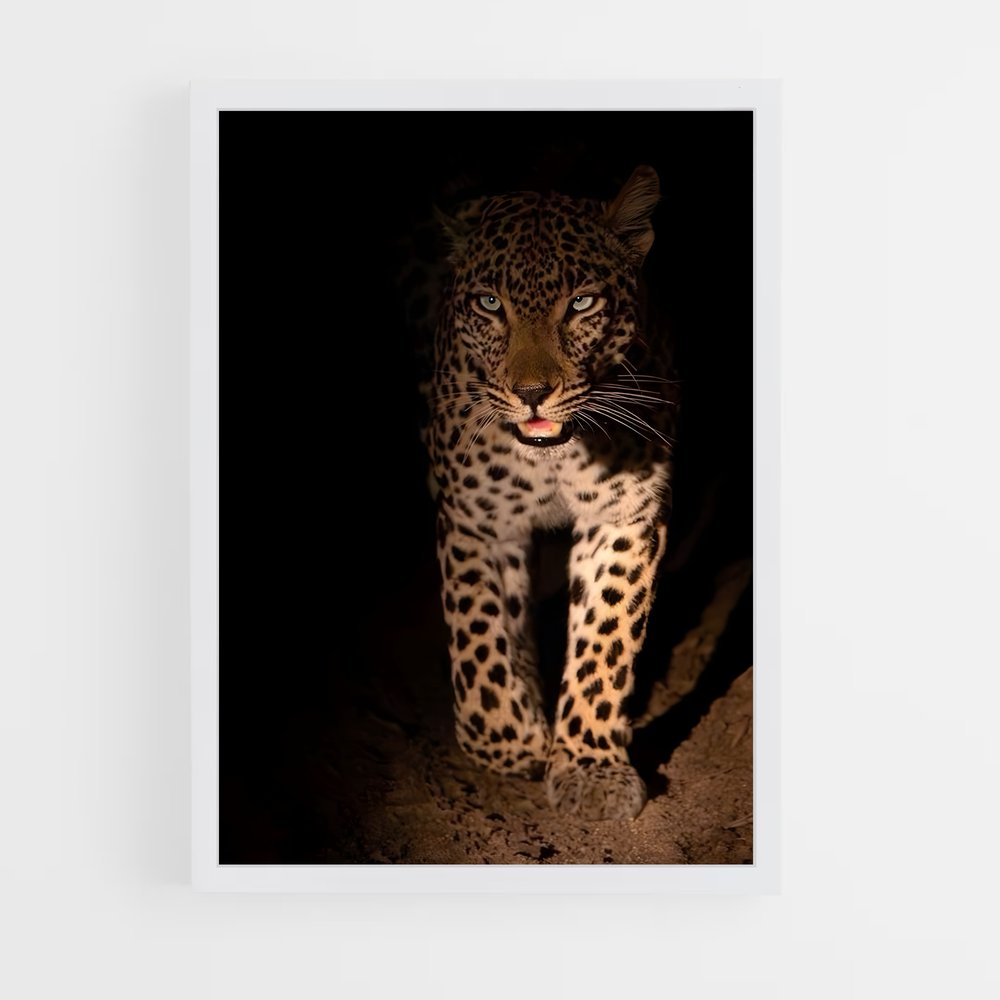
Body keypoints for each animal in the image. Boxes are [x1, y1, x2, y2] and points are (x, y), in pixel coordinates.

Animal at [425, 166, 674, 821]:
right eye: (491, 304)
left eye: (581, 303)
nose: (533, 393)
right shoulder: (475, 522)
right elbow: (478, 644)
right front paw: (515, 741)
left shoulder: (625, 515)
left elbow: (605, 638)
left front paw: (591, 766)